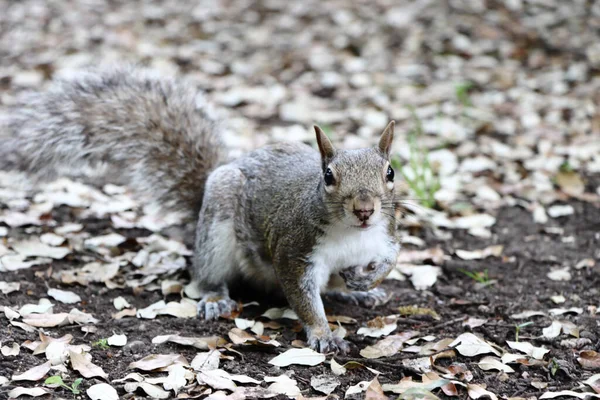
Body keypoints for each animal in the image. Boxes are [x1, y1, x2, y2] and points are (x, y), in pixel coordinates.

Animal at [2, 69, 404, 354]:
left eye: (390, 173)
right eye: (328, 177)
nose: (365, 209)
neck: (352, 235)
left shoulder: (385, 235)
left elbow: (391, 258)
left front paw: (368, 279)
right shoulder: (295, 251)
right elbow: (304, 299)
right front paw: (323, 333)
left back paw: (357, 293)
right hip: (216, 231)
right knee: (209, 274)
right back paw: (214, 298)